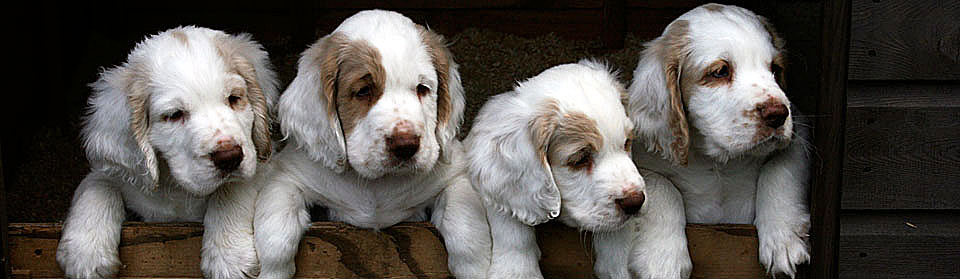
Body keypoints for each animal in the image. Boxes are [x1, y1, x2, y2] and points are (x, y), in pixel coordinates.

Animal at [57, 26, 278, 279]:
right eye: (174, 115)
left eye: (234, 98)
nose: (230, 157)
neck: (178, 189)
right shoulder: (119, 171)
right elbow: (98, 184)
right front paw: (85, 254)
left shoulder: (263, 162)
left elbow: (232, 187)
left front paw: (228, 257)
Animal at [251, 9, 492, 279]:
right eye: (364, 91)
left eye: (423, 88)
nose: (406, 145)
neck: (377, 185)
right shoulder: (287, 176)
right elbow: (276, 237)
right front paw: (272, 272)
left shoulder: (455, 176)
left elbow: (466, 231)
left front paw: (476, 269)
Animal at [466, 60, 688, 278]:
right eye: (580, 159)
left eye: (627, 143)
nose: (634, 202)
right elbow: (510, 215)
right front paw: (517, 271)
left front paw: (618, 259)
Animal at [632, 3, 808, 278]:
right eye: (720, 72)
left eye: (775, 69)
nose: (778, 114)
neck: (718, 163)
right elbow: (661, 186)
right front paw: (663, 263)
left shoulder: (798, 135)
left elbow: (779, 168)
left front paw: (783, 241)